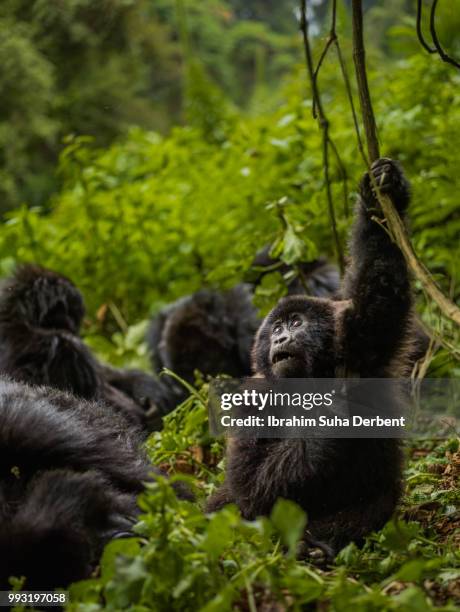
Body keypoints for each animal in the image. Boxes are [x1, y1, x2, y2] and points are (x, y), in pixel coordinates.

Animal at [208, 158, 414, 556]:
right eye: (275, 328)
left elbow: (380, 285)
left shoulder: (361, 343)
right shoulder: (253, 399)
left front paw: (379, 197)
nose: (280, 337)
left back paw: (318, 544)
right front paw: (328, 419)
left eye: (295, 322)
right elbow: (251, 486)